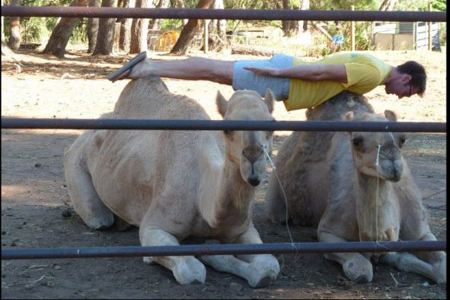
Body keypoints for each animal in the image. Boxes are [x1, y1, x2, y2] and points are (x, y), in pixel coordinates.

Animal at [63, 76, 280, 288]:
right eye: (227, 129)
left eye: (273, 124)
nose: (253, 156)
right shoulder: (153, 227)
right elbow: (192, 271)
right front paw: (208, 253)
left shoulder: (242, 230)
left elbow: (268, 267)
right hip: (76, 162)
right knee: (99, 218)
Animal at [268, 91, 446, 284]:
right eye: (356, 141)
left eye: (403, 138)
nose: (393, 165)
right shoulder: (328, 231)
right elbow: (361, 270)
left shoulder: (421, 233)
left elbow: (441, 269)